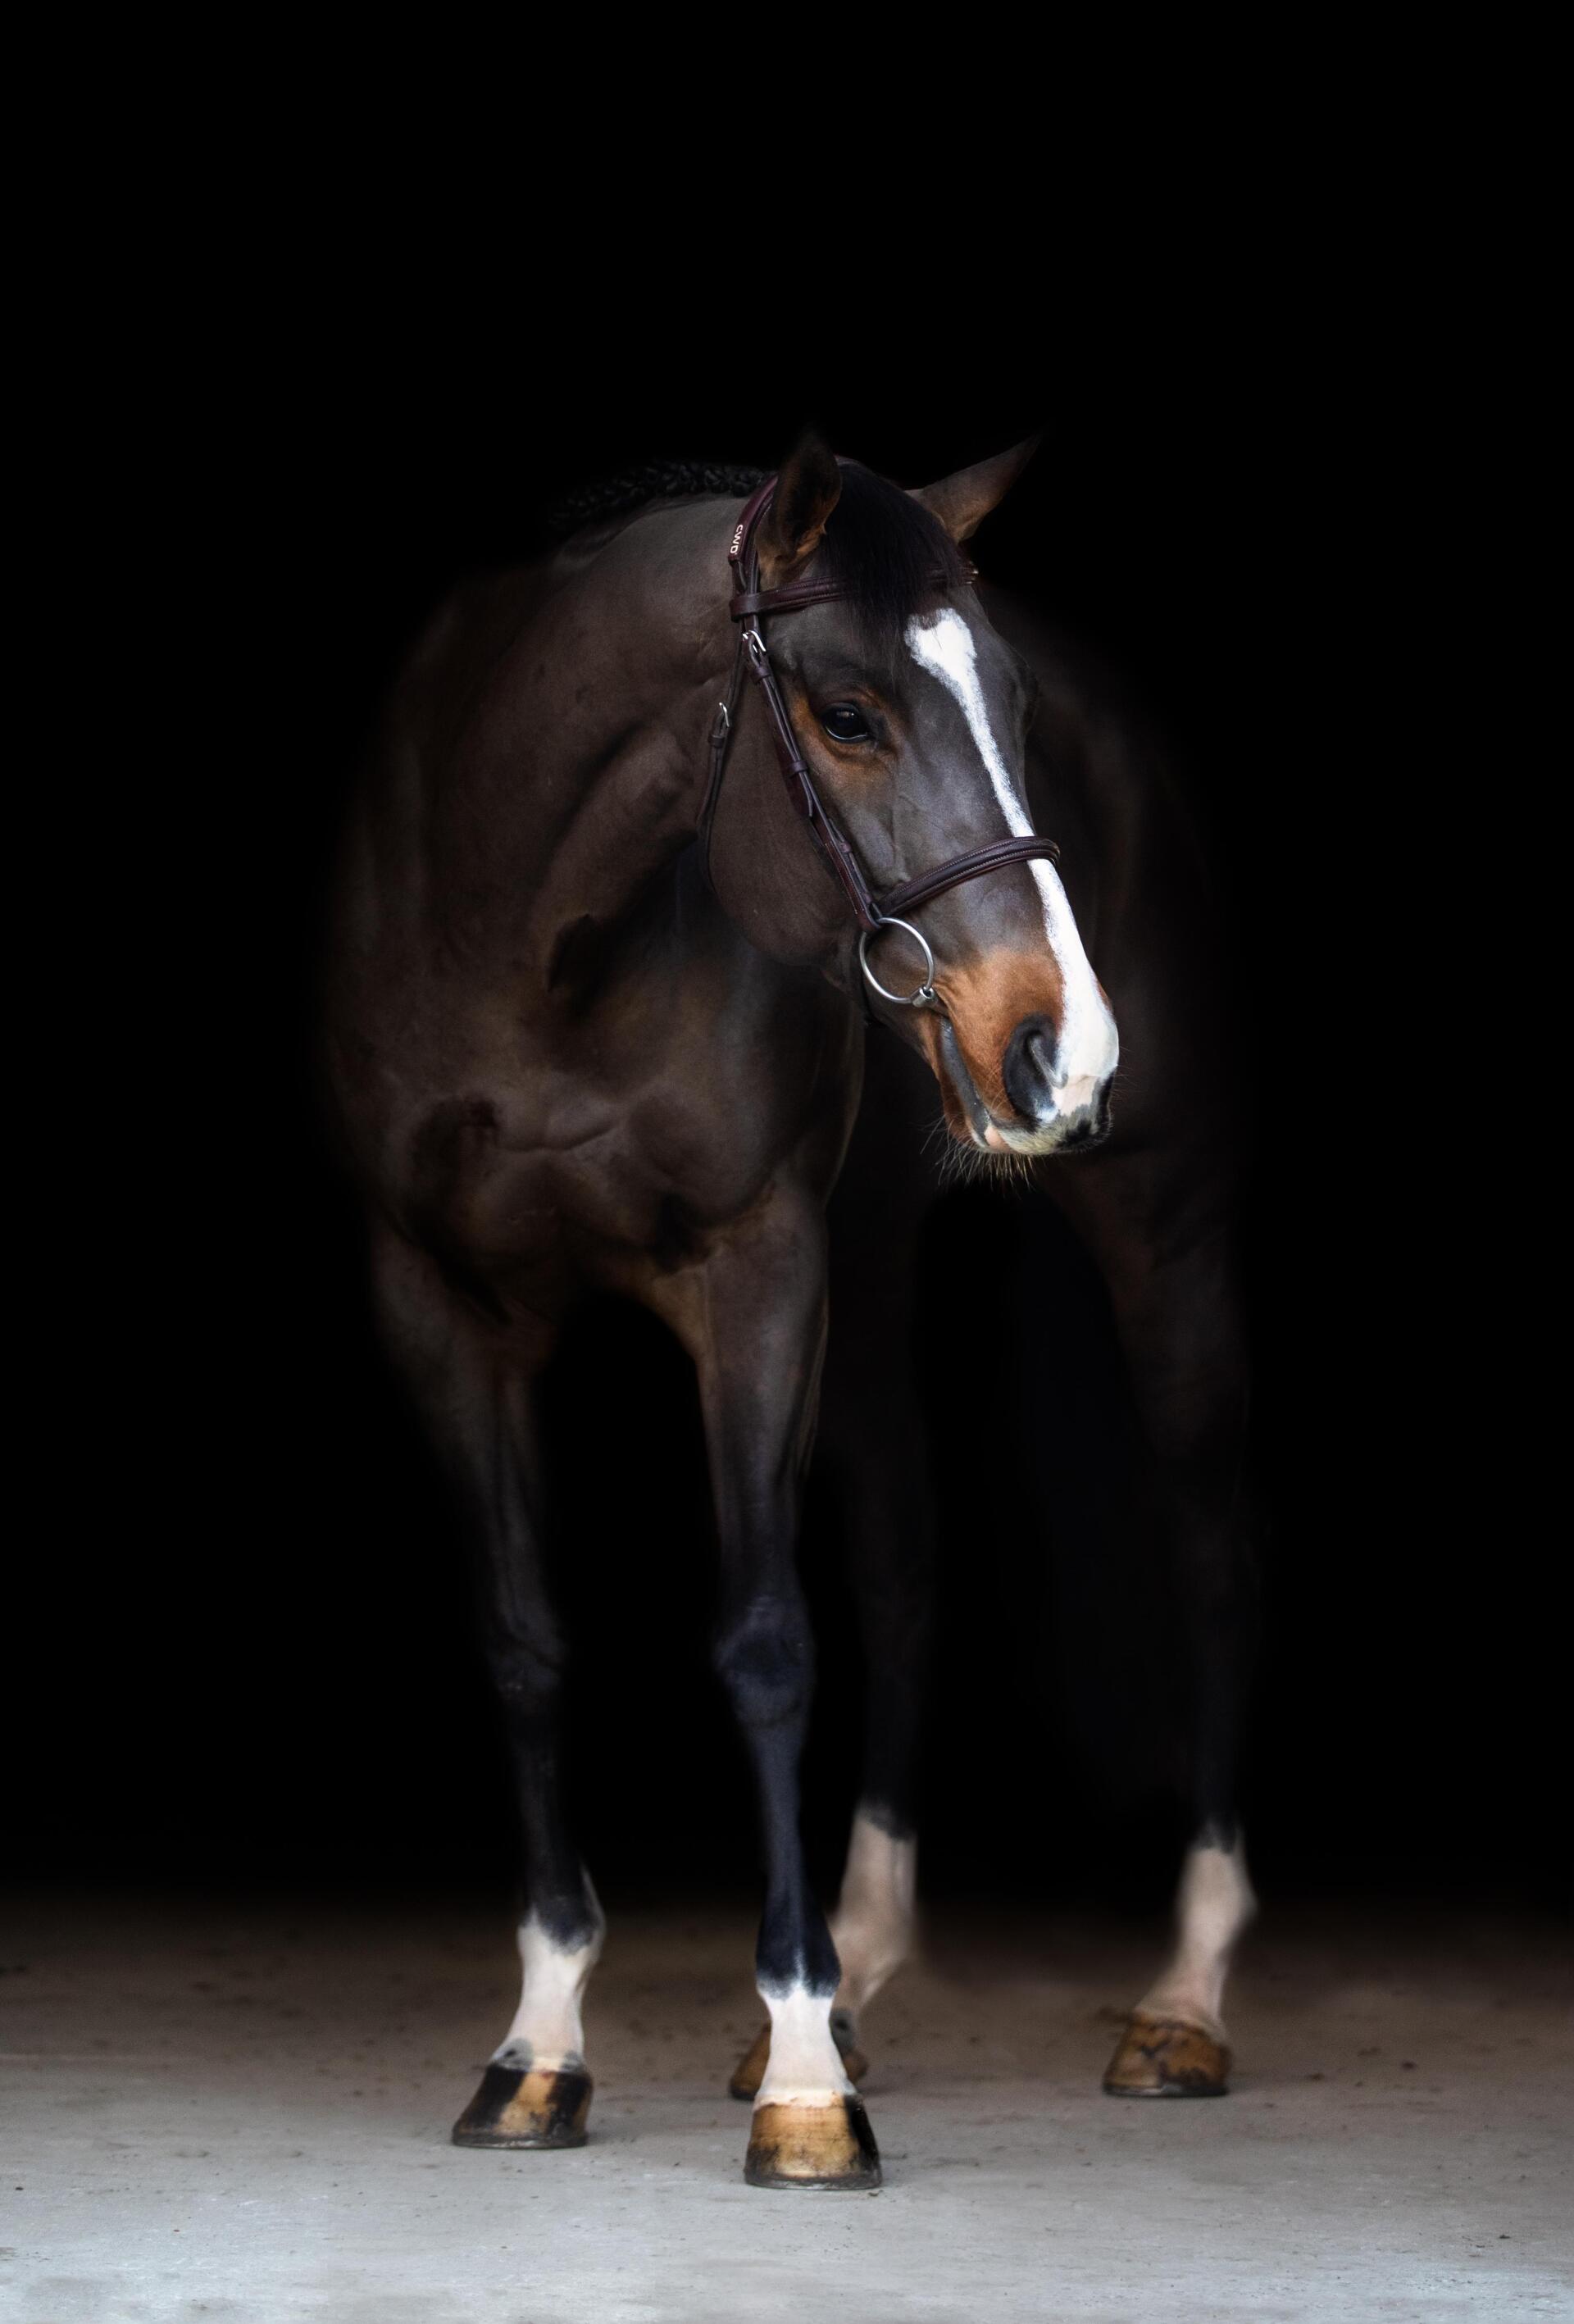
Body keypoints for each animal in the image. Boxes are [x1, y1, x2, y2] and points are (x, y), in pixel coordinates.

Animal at [323, 433, 1251, 2189]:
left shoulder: (751, 1271)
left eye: (1012, 704)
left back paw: (1184, 1997)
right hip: (873, 1268)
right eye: (848, 714)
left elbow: (763, 1642)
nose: (1068, 1051)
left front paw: (811, 2079)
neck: (540, 951)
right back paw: (871, 1956)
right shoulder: (442, 1305)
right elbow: (523, 1641)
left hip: (1157, 1225)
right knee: (904, 1563)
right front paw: (541, 2048)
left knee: (1206, 1551)